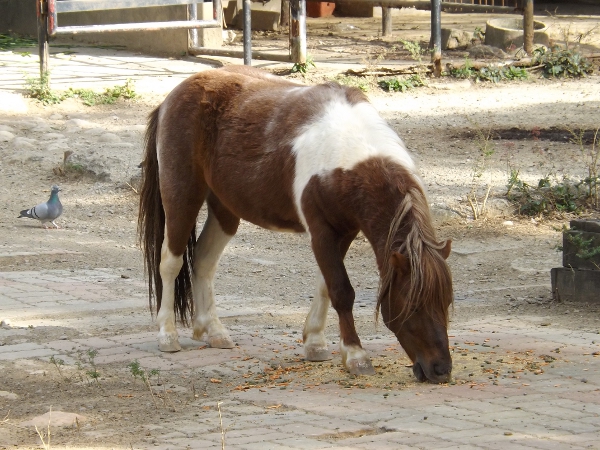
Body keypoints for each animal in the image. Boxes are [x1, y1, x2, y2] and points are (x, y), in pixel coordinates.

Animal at [137, 65, 454, 384]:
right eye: (413, 305)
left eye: (446, 302)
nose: (441, 369)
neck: (347, 154)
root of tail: (172, 98)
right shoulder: (321, 232)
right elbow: (341, 290)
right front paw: (356, 356)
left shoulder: (345, 231)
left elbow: (326, 286)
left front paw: (315, 343)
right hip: (182, 197)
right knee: (171, 262)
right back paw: (168, 336)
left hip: (225, 210)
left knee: (203, 260)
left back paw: (214, 332)